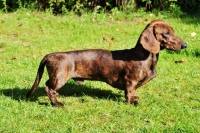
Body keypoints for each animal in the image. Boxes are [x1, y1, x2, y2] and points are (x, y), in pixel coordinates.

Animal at [26, 20, 188, 107]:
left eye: (173, 31)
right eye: (166, 33)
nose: (185, 45)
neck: (143, 57)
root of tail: (50, 55)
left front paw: (135, 97)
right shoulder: (130, 81)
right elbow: (130, 91)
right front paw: (132, 101)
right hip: (59, 78)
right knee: (48, 88)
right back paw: (57, 104)